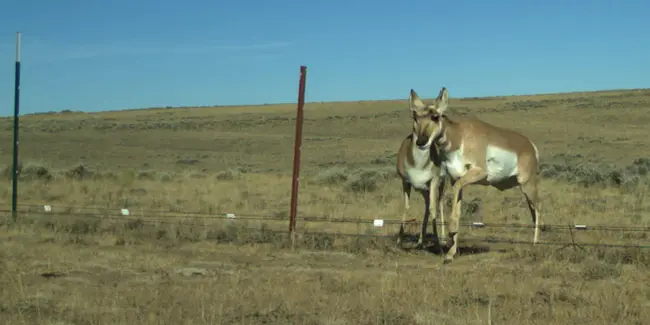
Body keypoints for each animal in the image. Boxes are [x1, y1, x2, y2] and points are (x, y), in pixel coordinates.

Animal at [394, 88, 446, 248]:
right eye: (415, 116)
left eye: (435, 117)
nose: (422, 141)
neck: (418, 165)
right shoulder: (405, 182)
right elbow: (406, 207)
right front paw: (399, 240)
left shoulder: (434, 181)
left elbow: (434, 208)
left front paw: (437, 242)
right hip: (423, 189)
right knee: (427, 206)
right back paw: (420, 241)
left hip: (441, 185)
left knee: (439, 204)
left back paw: (442, 238)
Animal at [418, 86, 540, 264]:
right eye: (416, 117)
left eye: (435, 116)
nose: (421, 141)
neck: (460, 136)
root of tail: (529, 145)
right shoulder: (455, 179)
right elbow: (458, 207)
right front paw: (450, 253)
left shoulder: (479, 173)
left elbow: (456, 195)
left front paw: (451, 231)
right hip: (524, 188)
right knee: (533, 211)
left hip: (528, 185)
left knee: (538, 209)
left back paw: (536, 245)